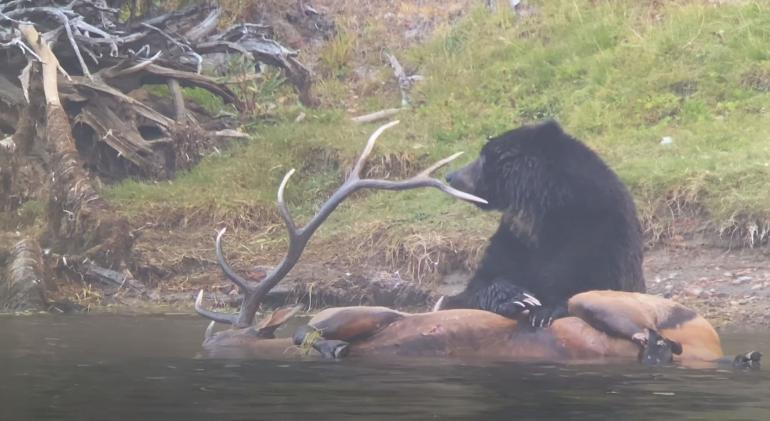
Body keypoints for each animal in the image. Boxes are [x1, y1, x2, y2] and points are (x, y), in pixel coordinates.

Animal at [438, 120, 640, 326]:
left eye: (484, 157)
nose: (451, 176)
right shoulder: (513, 238)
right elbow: (478, 284)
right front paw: (518, 298)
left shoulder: (600, 230)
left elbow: (594, 283)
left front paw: (547, 311)